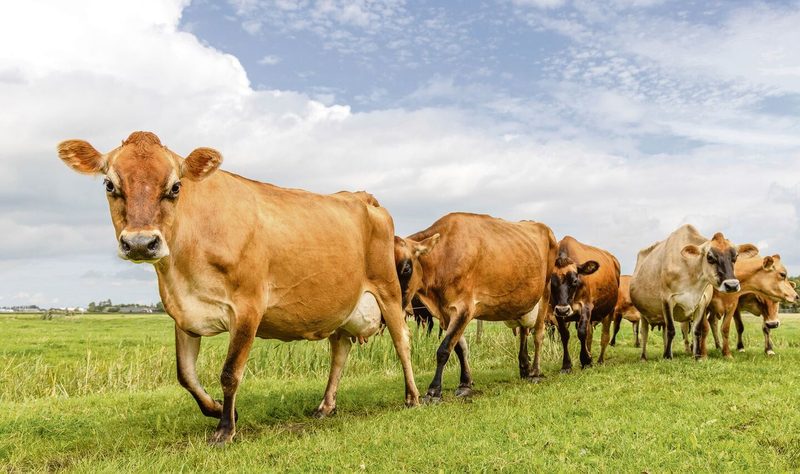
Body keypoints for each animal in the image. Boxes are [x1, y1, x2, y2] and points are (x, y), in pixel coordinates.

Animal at [57, 131, 420, 445]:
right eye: (109, 184)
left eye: (175, 187)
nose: (140, 243)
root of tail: (361, 196)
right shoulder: (183, 314)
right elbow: (185, 375)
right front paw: (217, 409)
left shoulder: (248, 306)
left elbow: (230, 372)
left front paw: (225, 429)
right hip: (342, 306)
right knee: (340, 350)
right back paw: (325, 406)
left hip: (388, 290)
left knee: (402, 341)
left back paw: (413, 397)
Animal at [397, 213, 557, 402]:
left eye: (406, 268)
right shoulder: (446, 313)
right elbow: (459, 348)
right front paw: (465, 383)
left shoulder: (464, 308)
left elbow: (444, 349)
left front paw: (434, 390)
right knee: (524, 331)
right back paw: (524, 366)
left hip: (545, 291)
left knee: (538, 334)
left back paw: (535, 372)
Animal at [549, 236, 620, 371]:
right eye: (550, 281)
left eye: (575, 280)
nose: (563, 310)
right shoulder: (556, 310)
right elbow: (564, 335)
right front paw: (567, 365)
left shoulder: (586, 306)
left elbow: (582, 333)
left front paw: (586, 360)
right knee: (590, 336)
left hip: (609, 310)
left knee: (605, 336)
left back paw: (600, 360)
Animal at [630, 224, 758, 360]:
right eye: (710, 257)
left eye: (735, 257)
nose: (732, 285)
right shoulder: (667, 299)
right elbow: (671, 330)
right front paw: (668, 357)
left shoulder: (702, 302)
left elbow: (696, 330)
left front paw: (697, 356)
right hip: (643, 314)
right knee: (644, 332)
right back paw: (644, 357)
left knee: (664, 331)